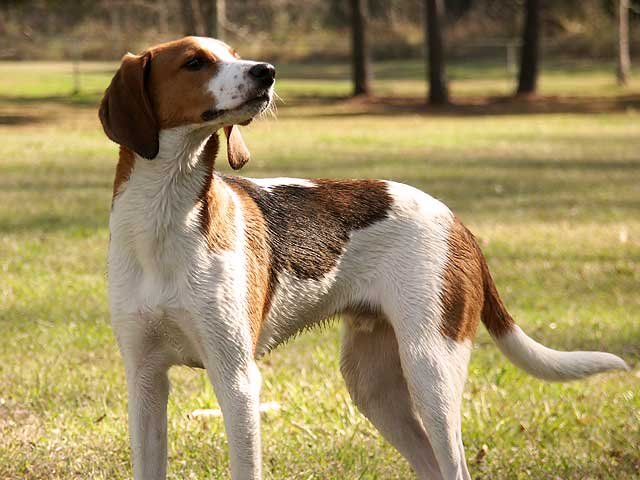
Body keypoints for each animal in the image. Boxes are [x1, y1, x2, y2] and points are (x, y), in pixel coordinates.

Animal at [97, 38, 628, 480]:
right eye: (195, 62)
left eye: (233, 53)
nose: (267, 71)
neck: (164, 219)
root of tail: (458, 222)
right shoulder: (145, 381)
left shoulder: (237, 379)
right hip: (374, 385)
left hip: (430, 371)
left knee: (454, 465)